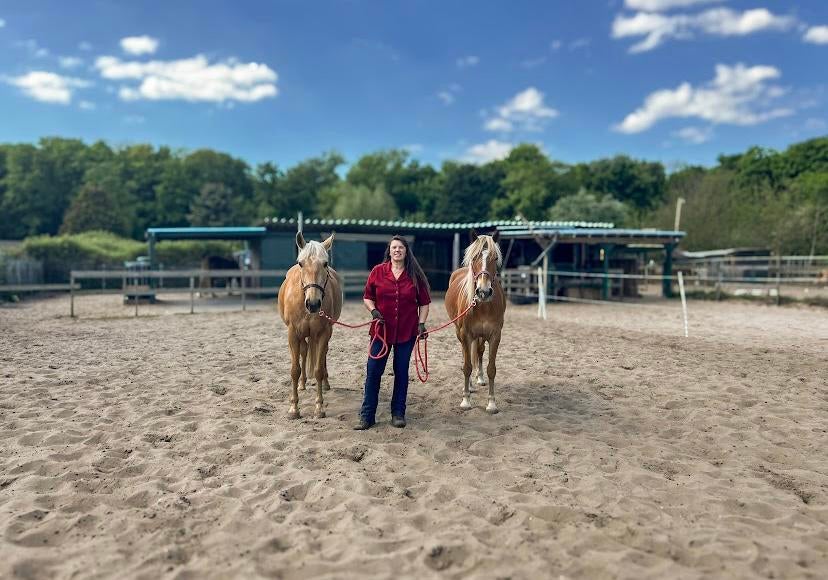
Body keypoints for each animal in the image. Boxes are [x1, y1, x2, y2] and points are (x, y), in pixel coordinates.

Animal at [277, 232, 342, 419]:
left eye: (325, 263)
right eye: (301, 263)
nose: (313, 304)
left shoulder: (323, 333)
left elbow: (318, 369)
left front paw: (319, 408)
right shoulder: (293, 334)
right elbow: (295, 370)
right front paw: (294, 408)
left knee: (322, 353)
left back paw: (325, 384)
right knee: (304, 352)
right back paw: (302, 384)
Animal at [445, 233, 506, 414]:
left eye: (495, 258)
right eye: (474, 258)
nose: (483, 292)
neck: (483, 305)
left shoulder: (495, 336)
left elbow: (491, 368)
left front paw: (491, 403)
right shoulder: (465, 334)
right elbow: (466, 366)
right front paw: (466, 400)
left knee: (478, 352)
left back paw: (479, 378)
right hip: (460, 333)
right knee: (467, 356)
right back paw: (471, 385)